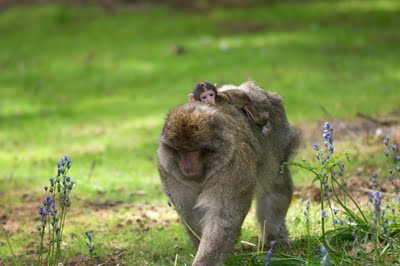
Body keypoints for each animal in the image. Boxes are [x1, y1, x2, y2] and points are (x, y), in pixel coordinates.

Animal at [158, 81, 298, 266]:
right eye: (181, 151)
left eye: (194, 151)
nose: (187, 166)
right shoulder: (168, 170)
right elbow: (189, 213)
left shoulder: (233, 164)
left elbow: (223, 216)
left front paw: (205, 260)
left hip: (279, 134)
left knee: (275, 184)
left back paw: (273, 237)